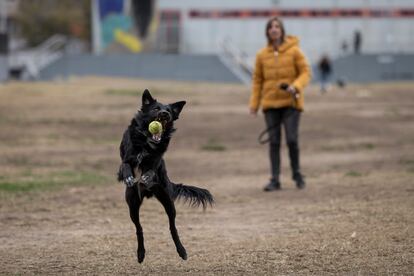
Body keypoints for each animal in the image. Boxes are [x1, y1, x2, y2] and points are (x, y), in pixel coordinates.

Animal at [116, 89, 213, 264]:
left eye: (169, 111)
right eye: (156, 109)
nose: (164, 114)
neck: (147, 140)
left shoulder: (157, 160)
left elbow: (152, 168)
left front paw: (146, 176)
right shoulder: (125, 158)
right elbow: (125, 165)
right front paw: (129, 177)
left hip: (168, 201)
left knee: (172, 227)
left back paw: (182, 251)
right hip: (132, 204)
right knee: (139, 228)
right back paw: (140, 254)